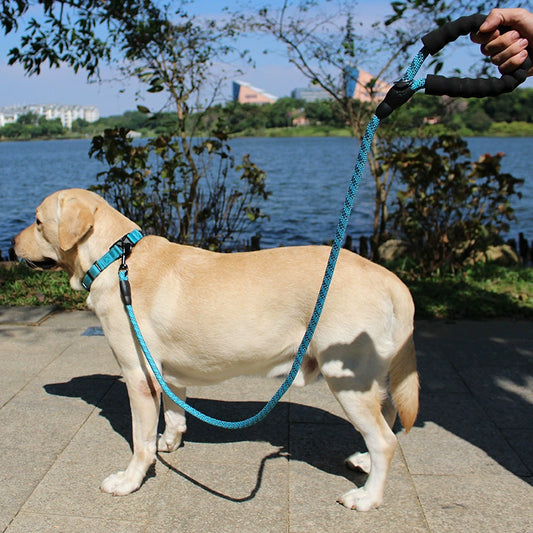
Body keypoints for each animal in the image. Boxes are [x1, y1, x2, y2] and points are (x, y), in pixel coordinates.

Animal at [14, 189, 418, 510]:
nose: (11, 244)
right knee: (388, 416)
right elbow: (175, 416)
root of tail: (388, 277)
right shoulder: (167, 374)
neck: (116, 259)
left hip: (346, 377)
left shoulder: (139, 376)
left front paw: (130, 480)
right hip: (368, 377)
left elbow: (140, 442)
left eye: (37, 222)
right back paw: (364, 462)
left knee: (385, 440)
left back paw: (367, 497)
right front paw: (169, 442)